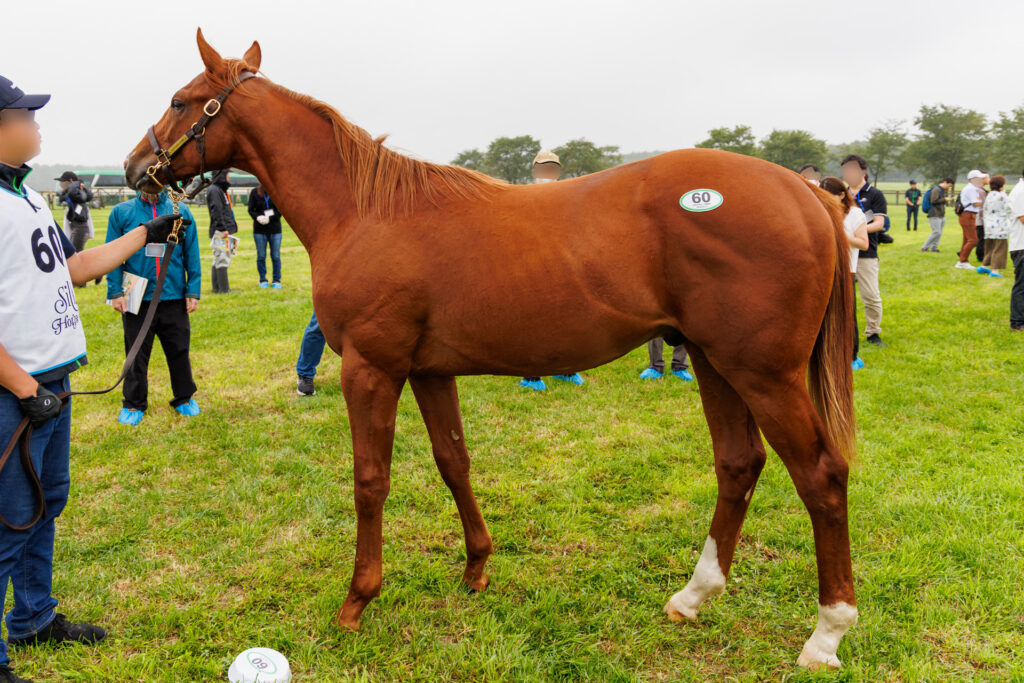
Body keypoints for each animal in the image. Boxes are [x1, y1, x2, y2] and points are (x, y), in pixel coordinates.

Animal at [124, 30, 859, 669]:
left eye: (183, 99)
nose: (135, 167)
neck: (365, 212)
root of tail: (805, 192)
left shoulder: (371, 371)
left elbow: (370, 480)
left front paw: (358, 599)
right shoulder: (428, 372)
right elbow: (454, 461)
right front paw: (477, 564)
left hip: (763, 373)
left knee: (820, 475)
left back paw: (827, 632)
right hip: (713, 361)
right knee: (739, 463)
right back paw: (694, 595)